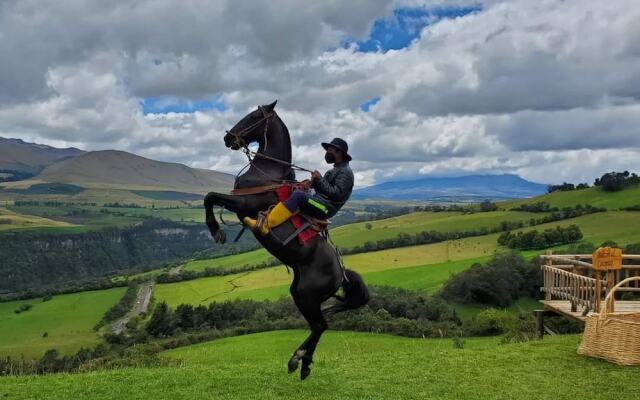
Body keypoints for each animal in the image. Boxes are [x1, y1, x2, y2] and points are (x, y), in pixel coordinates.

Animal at [202, 101, 368, 382]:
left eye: (254, 116)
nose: (228, 138)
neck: (268, 173)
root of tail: (342, 275)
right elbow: (210, 196)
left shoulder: (244, 204)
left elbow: (209, 196)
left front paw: (216, 231)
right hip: (301, 293)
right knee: (319, 326)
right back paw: (303, 363)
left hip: (306, 295)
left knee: (320, 325)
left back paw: (298, 359)